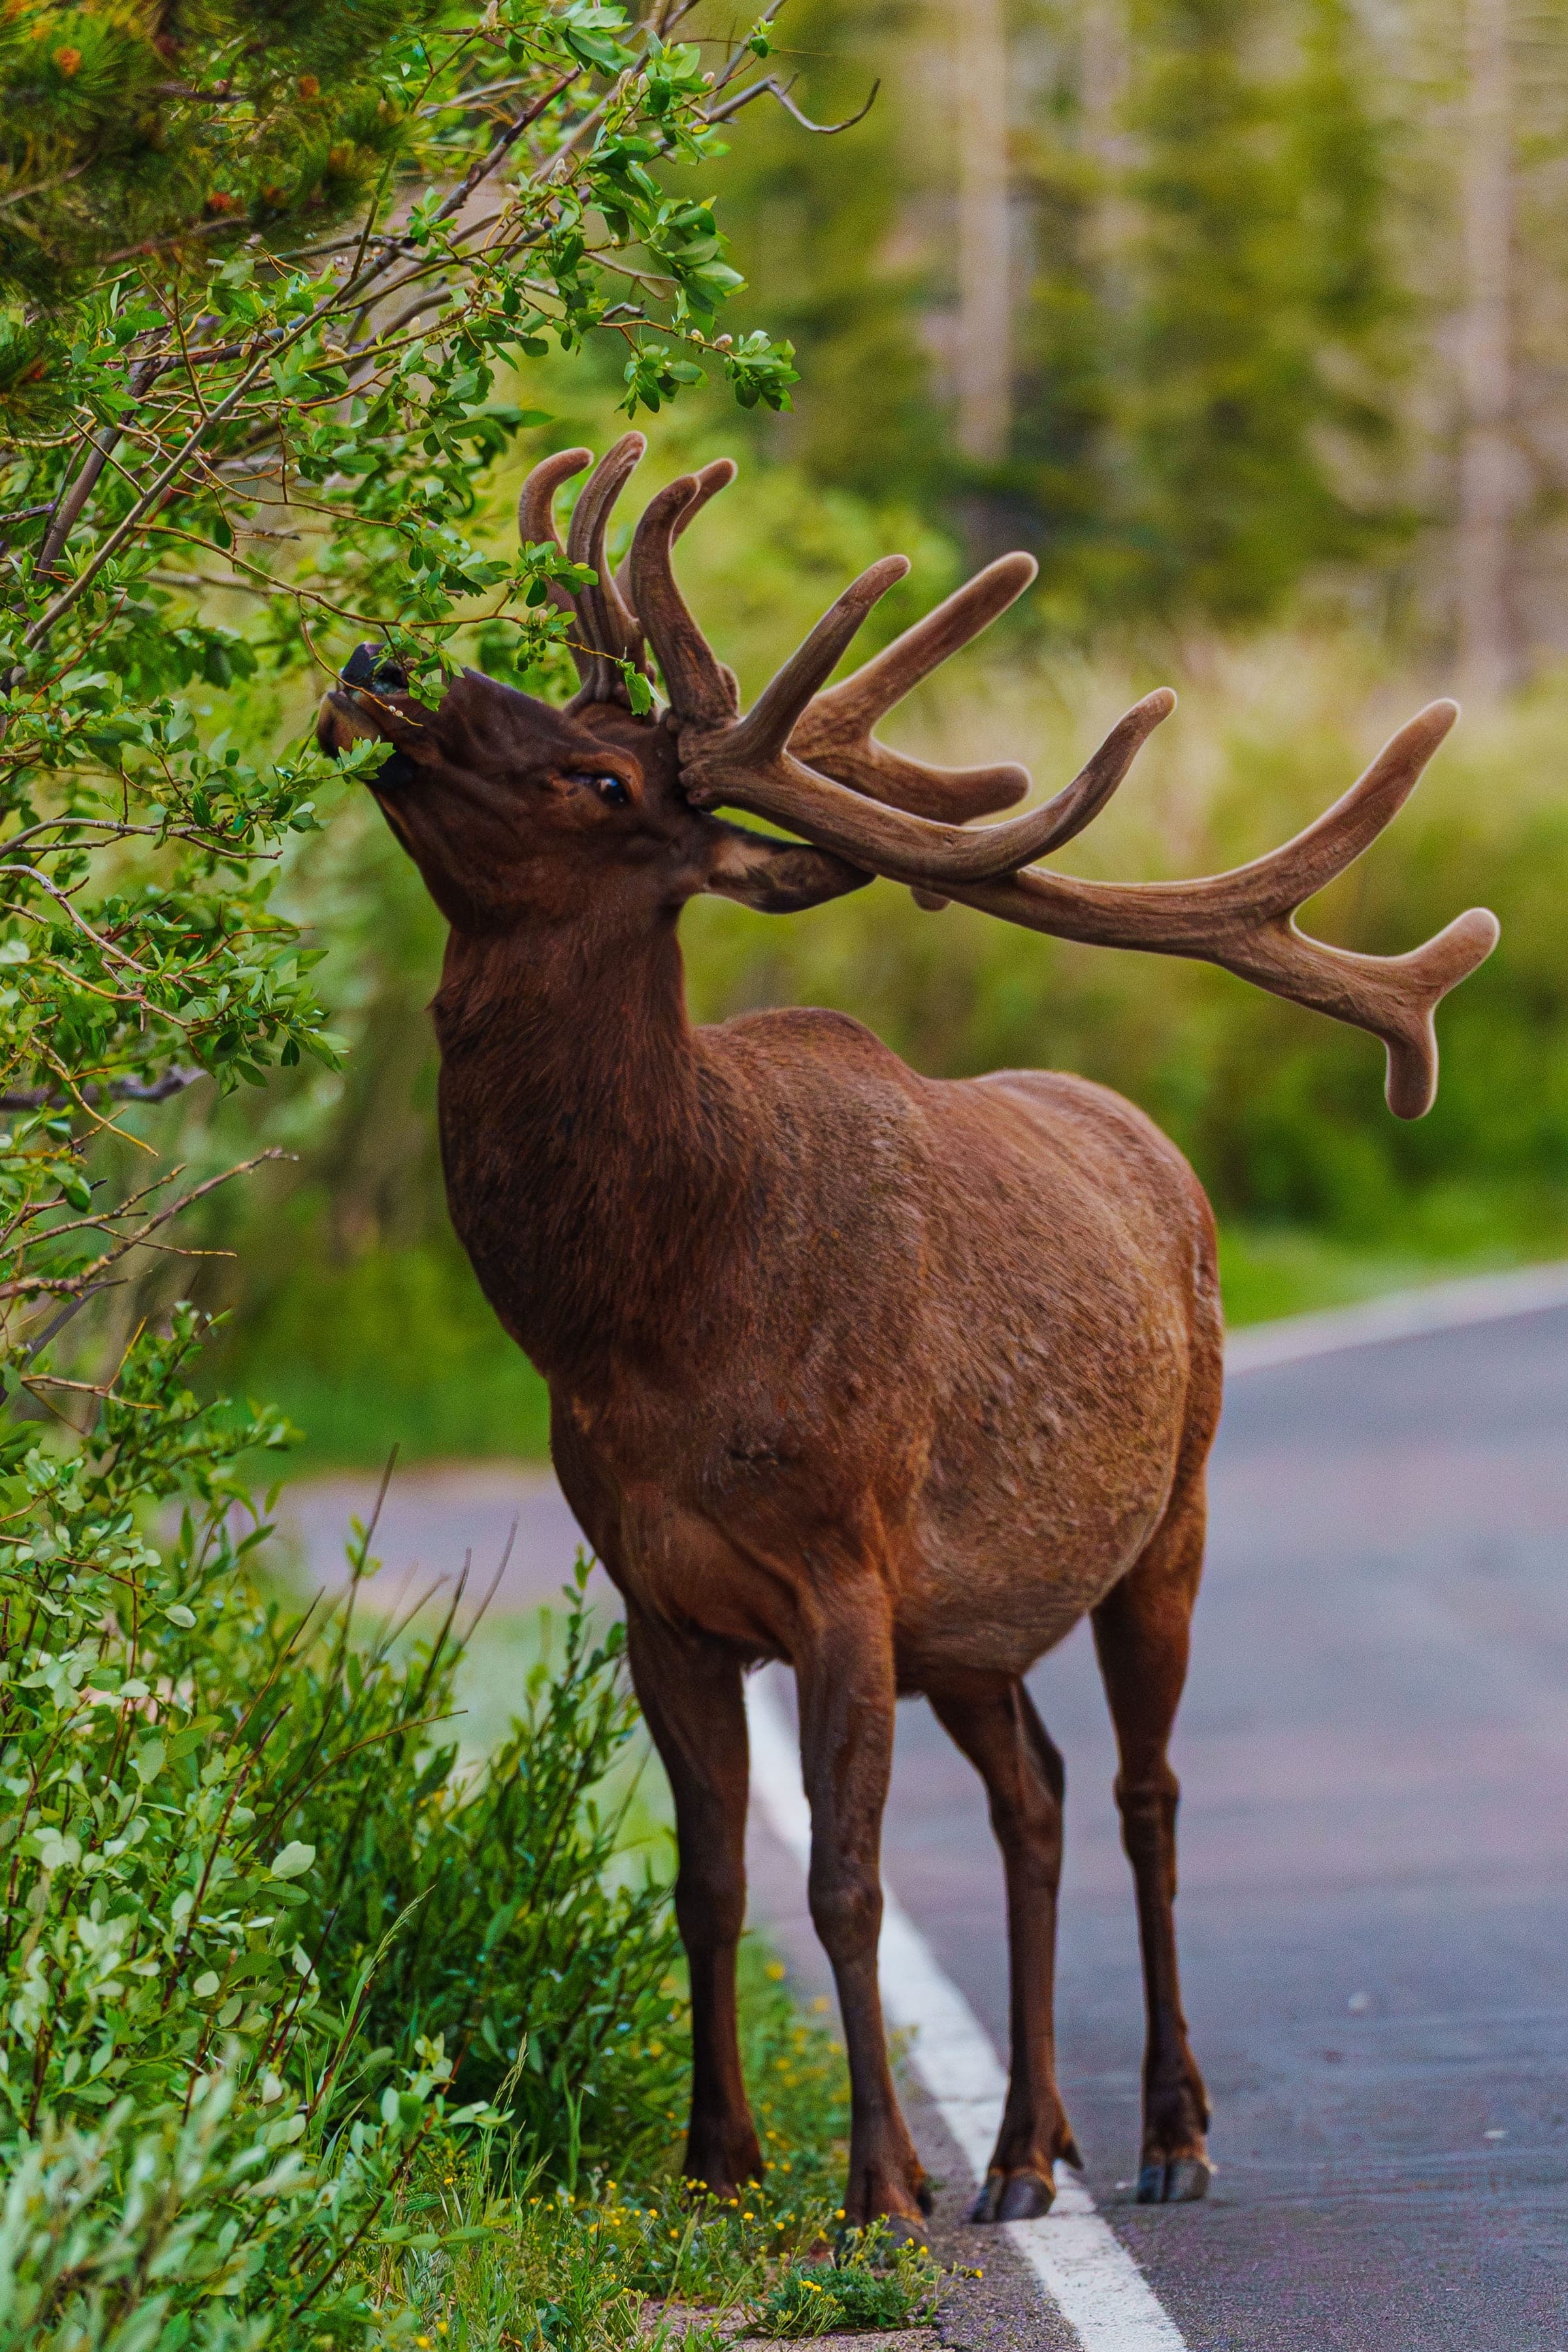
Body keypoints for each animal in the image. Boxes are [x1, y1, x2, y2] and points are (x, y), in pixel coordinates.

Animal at [317, 434, 1498, 2233]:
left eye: (601, 782)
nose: (382, 668)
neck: (646, 1318)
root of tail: (1155, 1145)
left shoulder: (845, 1574)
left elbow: (850, 1882)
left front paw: (875, 2183)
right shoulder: (658, 1593)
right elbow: (709, 1879)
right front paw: (721, 2163)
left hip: (1169, 1516)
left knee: (1144, 1793)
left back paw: (1163, 2130)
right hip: (977, 1621)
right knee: (1037, 1796)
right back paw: (1026, 2145)